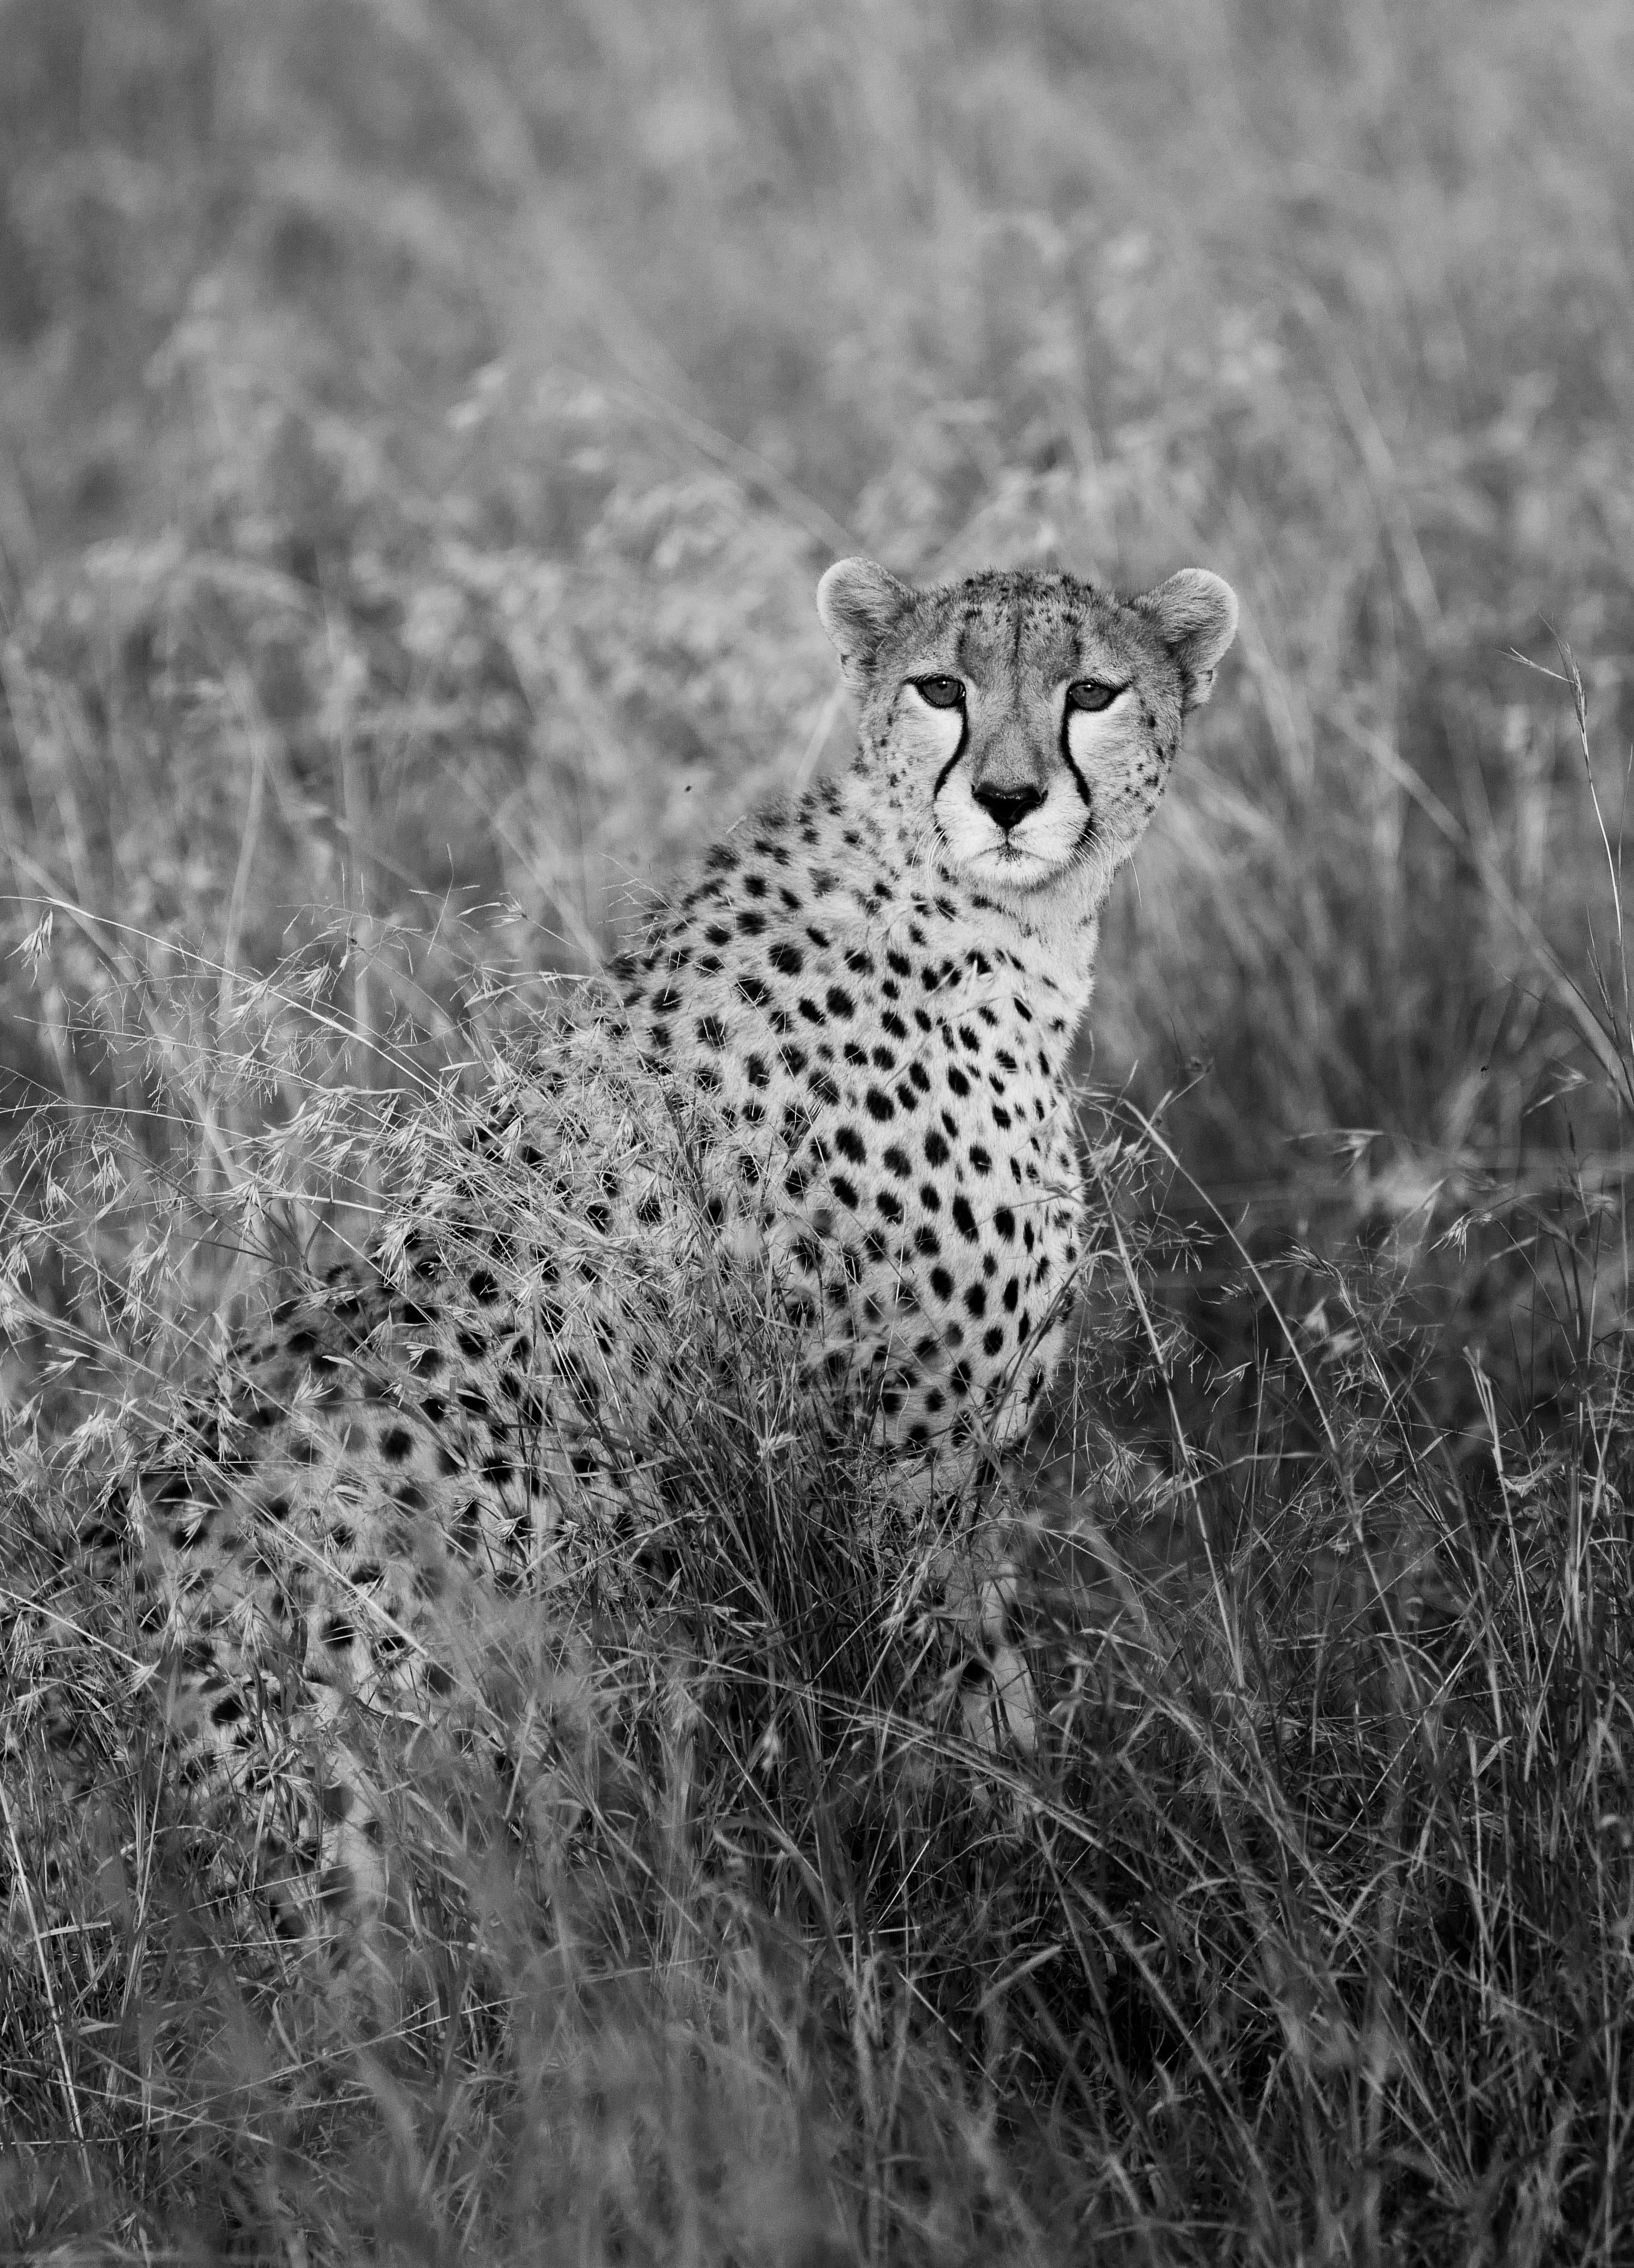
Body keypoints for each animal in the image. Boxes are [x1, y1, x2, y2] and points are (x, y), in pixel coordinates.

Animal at [81, 554, 1238, 1936]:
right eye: (940, 688)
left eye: (1092, 693)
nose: (1007, 799)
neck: (983, 915)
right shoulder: (909, 1462)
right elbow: (969, 1687)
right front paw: (1027, 1861)